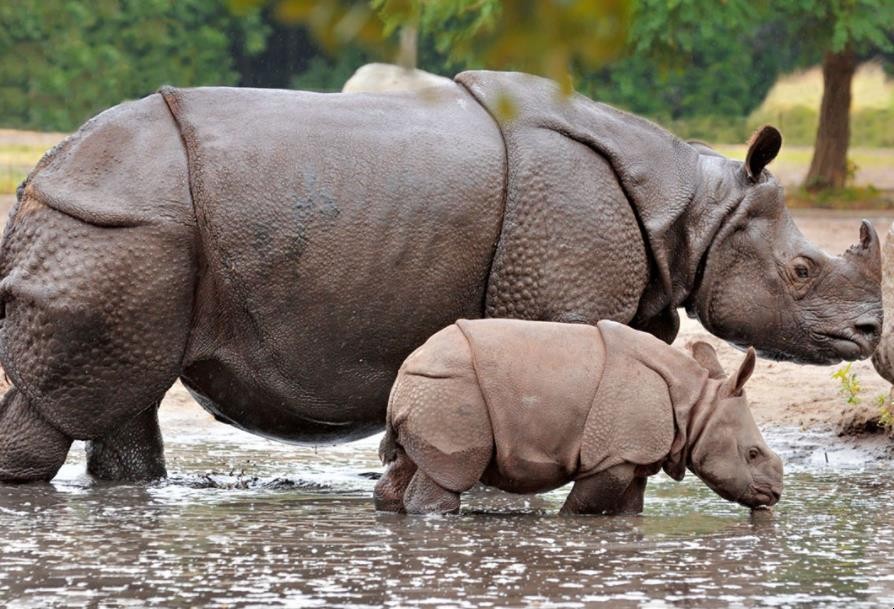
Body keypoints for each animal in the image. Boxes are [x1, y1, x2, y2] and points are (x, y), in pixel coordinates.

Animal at [0, 71, 880, 482]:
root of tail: (41, 176)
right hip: (118, 228)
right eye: (801, 269)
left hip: (129, 234)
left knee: (123, 400)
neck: (694, 207)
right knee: (65, 408)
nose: (871, 332)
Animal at [376, 318, 784, 512]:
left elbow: (627, 510)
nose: (775, 494)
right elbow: (584, 507)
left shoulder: (632, 454)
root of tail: (403, 376)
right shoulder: (613, 456)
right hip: (451, 388)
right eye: (752, 454)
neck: (695, 404)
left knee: (410, 464)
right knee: (449, 476)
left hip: (434, 387)